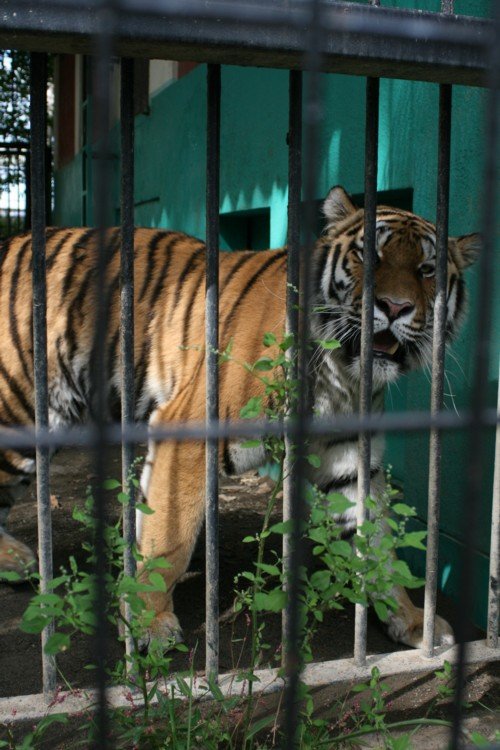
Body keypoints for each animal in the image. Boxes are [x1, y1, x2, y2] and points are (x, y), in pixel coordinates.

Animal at [0, 187, 478, 652]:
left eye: (427, 269)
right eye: (370, 256)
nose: (394, 306)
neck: (343, 375)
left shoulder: (349, 460)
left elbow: (378, 546)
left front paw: (413, 620)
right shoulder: (187, 432)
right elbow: (168, 537)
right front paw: (148, 622)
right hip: (24, 410)